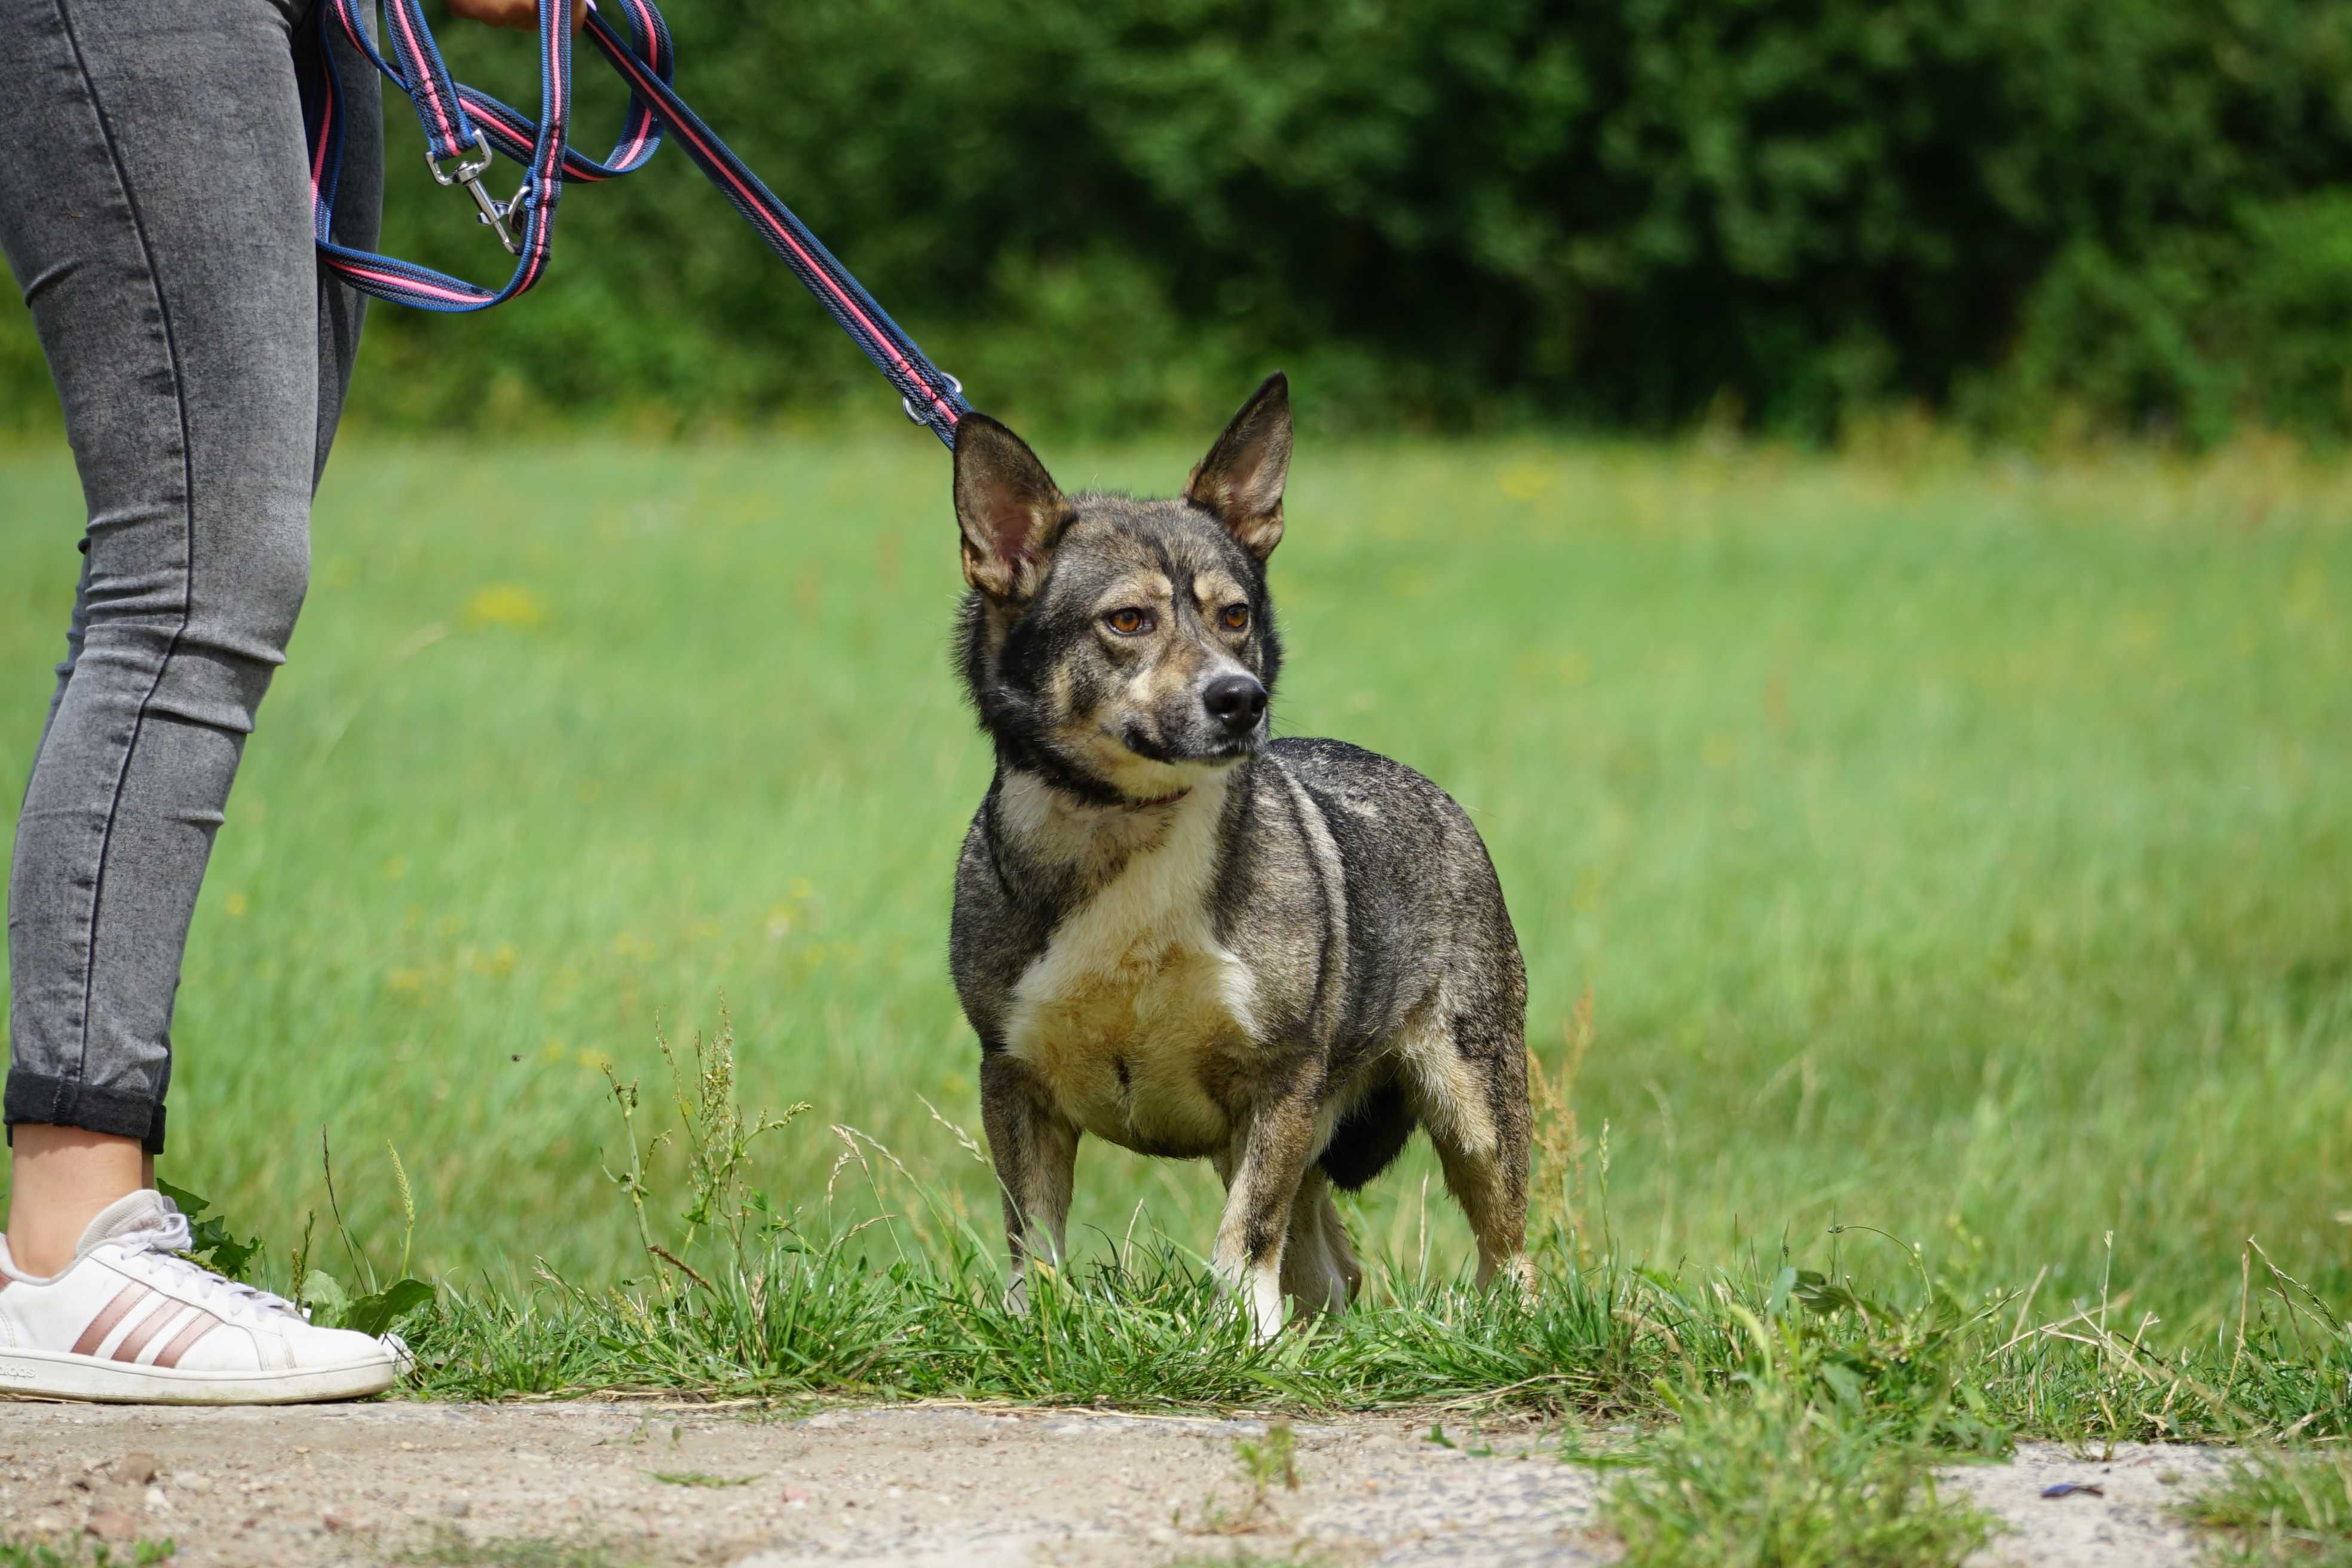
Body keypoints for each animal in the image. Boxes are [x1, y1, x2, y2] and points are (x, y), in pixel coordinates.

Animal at [945, 376, 1533, 1335]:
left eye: (1236, 616)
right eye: (1128, 620)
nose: (1241, 699)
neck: (1130, 826)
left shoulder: (1279, 1080)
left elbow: (1244, 1232)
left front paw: (1244, 1337)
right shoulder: (1015, 1077)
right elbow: (1033, 1238)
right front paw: (1041, 1324)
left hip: (1475, 1097)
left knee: (1505, 1243)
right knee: (1335, 1268)